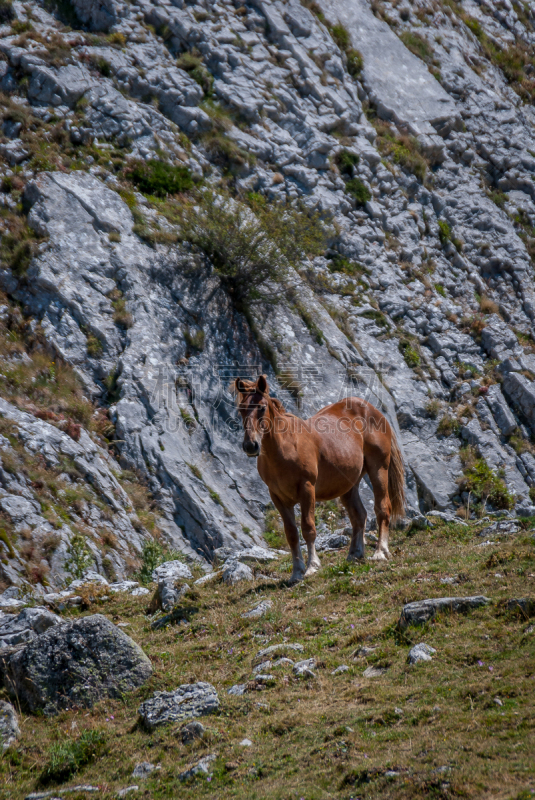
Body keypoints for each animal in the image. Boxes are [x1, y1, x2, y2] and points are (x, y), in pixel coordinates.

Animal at [234, 376, 406, 580]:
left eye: (261, 407)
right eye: (241, 409)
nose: (250, 445)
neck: (285, 447)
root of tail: (371, 409)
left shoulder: (307, 489)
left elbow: (308, 528)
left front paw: (312, 566)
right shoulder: (278, 498)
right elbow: (291, 534)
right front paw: (296, 572)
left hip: (379, 469)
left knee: (382, 508)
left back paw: (380, 552)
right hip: (348, 485)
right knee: (359, 515)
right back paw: (354, 554)